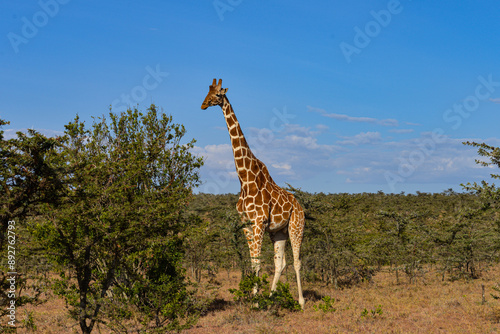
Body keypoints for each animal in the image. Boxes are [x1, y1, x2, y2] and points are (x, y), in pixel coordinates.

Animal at [202, 77, 304, 308]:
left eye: (218, 94)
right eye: (207, 92)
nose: (203, 105)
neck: (244, 179)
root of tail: (300, 206)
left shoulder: (258, 222)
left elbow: (257, 263)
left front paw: (255, 302)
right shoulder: (247, 225)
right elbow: (253, 263)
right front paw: (254, 299)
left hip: (296, 226)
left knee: (297, 261)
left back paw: (301, 302)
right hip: (278, 232)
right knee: (280, 263)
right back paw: (271, 297)